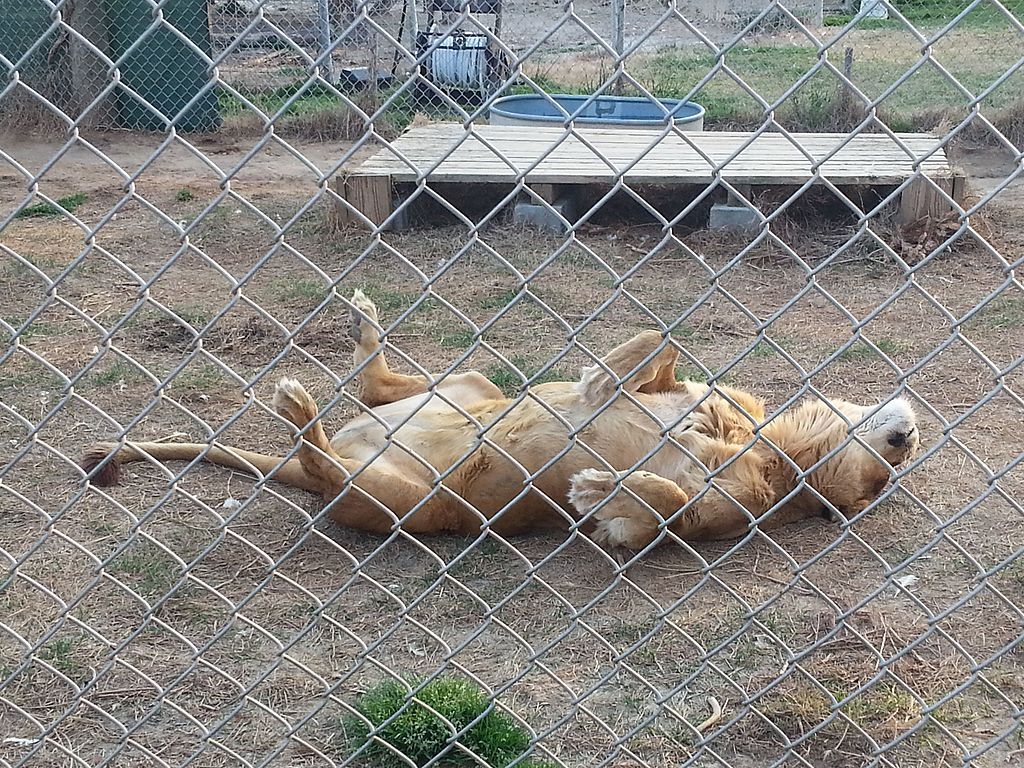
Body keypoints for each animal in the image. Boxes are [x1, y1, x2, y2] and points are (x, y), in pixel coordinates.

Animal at [81, 290, 920, 556]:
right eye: (889, 470)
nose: (908, 437)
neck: (777, 456)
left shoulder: (693, 521)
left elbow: (661, 508)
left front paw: (600, 486)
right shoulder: (705, 388)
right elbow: (663, 342)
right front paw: (605, 376)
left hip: (404, 502)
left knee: (321, 455)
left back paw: (301, 412)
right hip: (469, 383)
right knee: (377, 383)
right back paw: (361, 330)